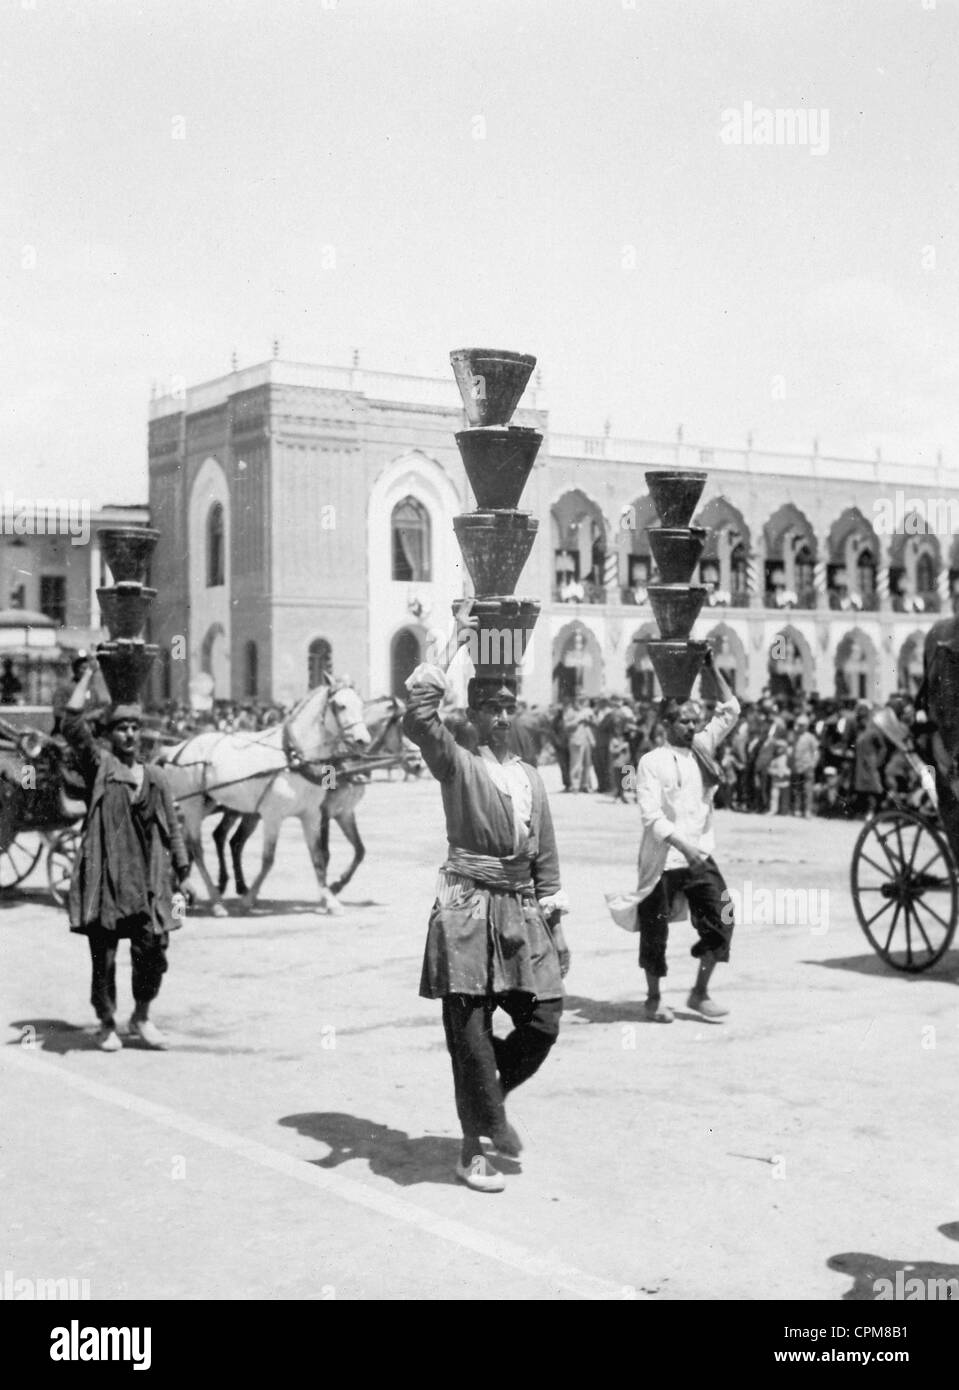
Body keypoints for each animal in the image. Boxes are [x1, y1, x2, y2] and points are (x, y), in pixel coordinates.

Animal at [162, 681, 366, 917]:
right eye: (341, 706)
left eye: (361, 703)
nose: (363, 739)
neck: (293, 756)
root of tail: (176, 749)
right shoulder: (273, 817)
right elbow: (268, 860)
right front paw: (248, 900)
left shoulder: (312, 815)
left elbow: (318, 857)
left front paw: (330, 900)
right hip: (192, 805)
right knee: (198, 849)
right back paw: (216, 901)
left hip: (206, 803)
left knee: (186, 840)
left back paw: (182, 886)